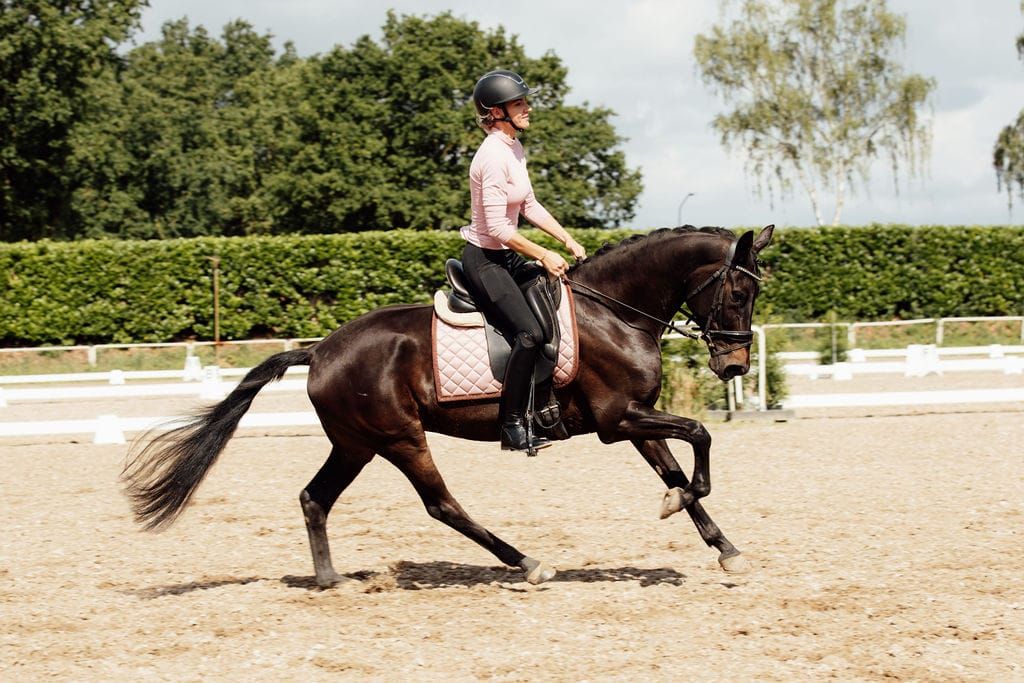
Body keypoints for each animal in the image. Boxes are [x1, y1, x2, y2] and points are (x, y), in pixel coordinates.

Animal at [122, 224, 774, 587]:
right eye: (738, 291)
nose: (735, 367)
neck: (613, 312)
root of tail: (320, 349)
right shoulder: (617, 421)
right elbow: (700, 439)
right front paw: (679, 505)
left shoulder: (635, 419)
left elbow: (678, 467)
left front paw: (726, 551)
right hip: (401, 439)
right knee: (441, 504)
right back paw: (528, 563)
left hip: (357, 445)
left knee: (314, 498)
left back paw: (330, 579)